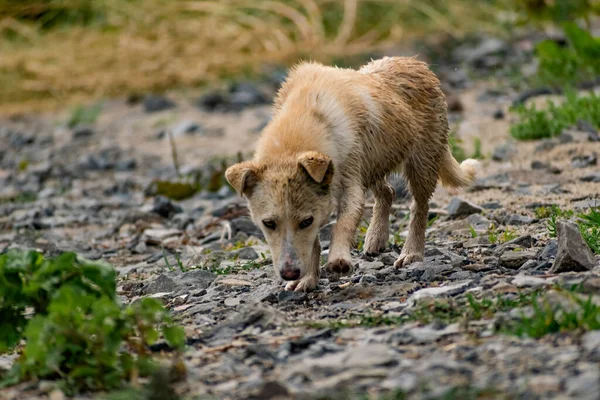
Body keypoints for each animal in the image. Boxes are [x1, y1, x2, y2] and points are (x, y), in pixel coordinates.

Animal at [225, 56, 478, 292]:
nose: (289, 273)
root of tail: (416, 62)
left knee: (419, 205)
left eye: (306, 221)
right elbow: (313, 243)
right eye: (268, 223)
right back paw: (376, 237)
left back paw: (412, 252)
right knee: (387, 192)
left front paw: (338, 259)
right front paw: (308, 279)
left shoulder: (350, 183)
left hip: (421, 161)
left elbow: (343, 224)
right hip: (374, 163)